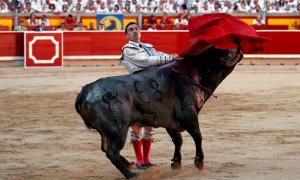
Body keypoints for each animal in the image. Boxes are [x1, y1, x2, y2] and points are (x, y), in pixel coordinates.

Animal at [75, 46, 244, 179]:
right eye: (223, 50)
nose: (239, 47)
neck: (193, 72)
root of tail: (85, 91)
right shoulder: (189, 115)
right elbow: (198, 136)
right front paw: (199, 163)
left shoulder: (170, 122)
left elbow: (178, 140)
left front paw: (176, 163)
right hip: (118, 130)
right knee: (111, 151)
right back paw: (131, 175)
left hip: (106, 131)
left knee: (105, 148)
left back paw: (129, 165)